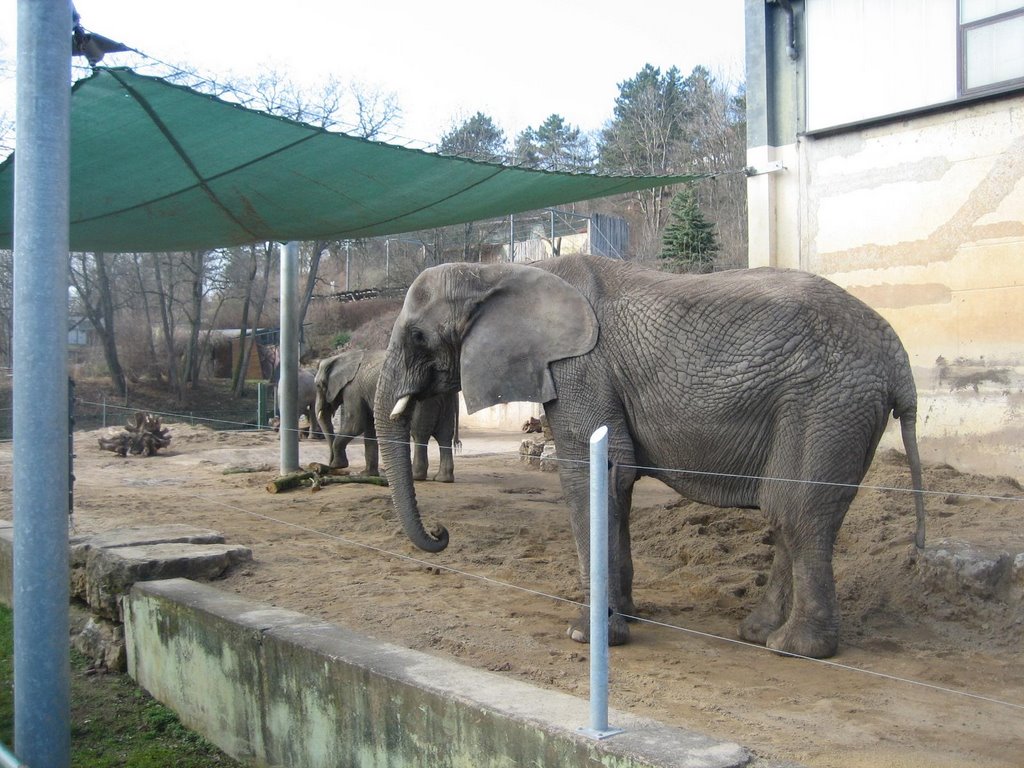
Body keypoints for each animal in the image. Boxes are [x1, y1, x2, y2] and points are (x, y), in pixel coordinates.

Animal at [309, 348, 458, 481]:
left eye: (319, 385)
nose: (327, 466)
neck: (341, 357)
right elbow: (369, 428)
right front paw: (367, 474)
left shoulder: (353, 389)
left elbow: (355, 424)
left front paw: (339, 465)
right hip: (445, 402)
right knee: (444, 435)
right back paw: (443, 479)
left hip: (424, 401)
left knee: (419, 434)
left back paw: (417, 477)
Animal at [372, 253, 925, 663]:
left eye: (418, 336)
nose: (441, 533)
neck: (499, 271)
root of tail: (900, 360)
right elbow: (616, 480)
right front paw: (625, 618)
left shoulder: (579, 368)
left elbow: (595, 474)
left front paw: (587, 635)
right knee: (787, 512)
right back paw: (757, 632)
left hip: (827, 403)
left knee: (795, 510)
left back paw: (795, 648)